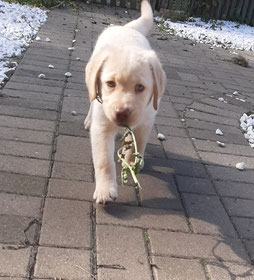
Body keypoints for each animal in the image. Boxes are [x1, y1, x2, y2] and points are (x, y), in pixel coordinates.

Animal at [84, 0, 166, 205]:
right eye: (110, 84)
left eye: (140, 88)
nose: (122, 112)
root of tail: (126, 28)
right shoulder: (102, 127)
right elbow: (104, 161)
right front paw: (105, 190)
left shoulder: (146, 120)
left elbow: (139, 142)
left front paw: (131, 161)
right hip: (92, 85)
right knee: (91, 101)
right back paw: (88, 119)